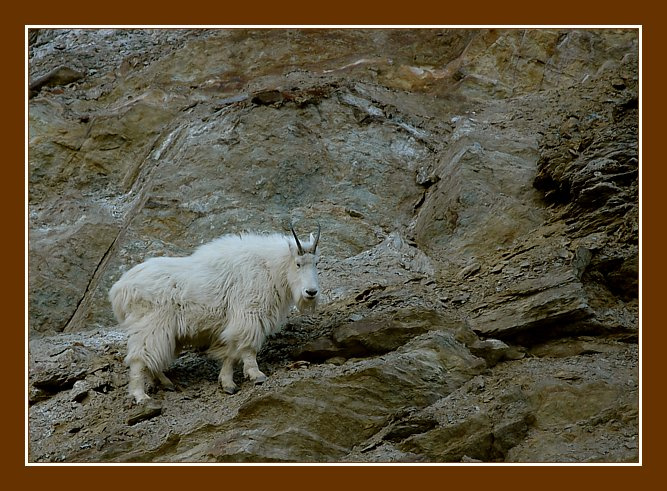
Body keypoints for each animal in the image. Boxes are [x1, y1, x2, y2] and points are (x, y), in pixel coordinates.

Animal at [109, 224, 320, 403]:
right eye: (298, 263)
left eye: (316, 263)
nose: (311, 292)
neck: (269, 268)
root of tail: (119, 289)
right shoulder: (249, 316)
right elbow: (247, 349)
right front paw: (256, 375)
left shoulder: (232, 325)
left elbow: (231, 353)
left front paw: (227, 384)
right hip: (150, 325)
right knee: (139, 358)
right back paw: (140, 395)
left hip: (166, 333)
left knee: (152, 359)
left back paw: (166, 383)